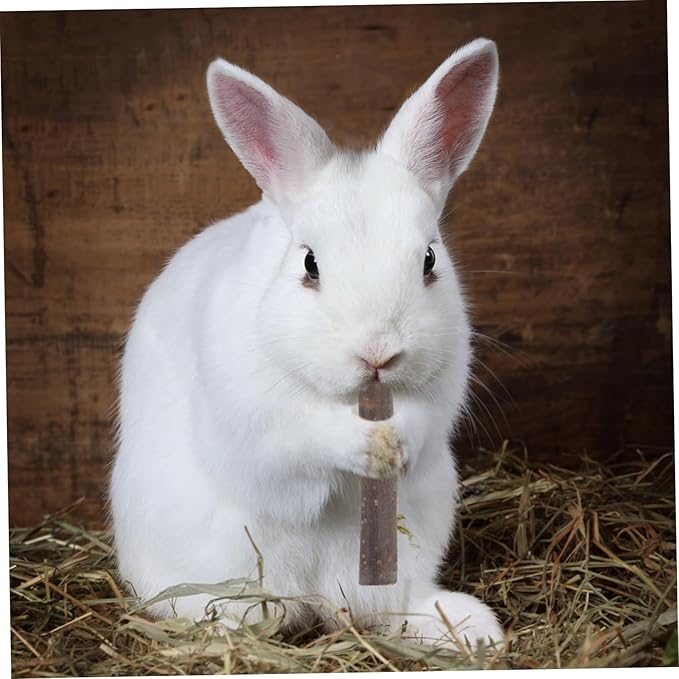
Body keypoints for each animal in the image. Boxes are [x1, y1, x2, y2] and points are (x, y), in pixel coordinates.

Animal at [109, 37, 503, 649]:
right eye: (309, 264)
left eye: (429, 260)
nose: (378, 350)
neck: (353, 398)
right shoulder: (259, 429)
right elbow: (301, 442)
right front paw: (363, 444)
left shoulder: (440, 397)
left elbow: (421, 421)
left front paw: (398, 441)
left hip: (408, 545)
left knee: (381, 608)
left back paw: (468, 628)